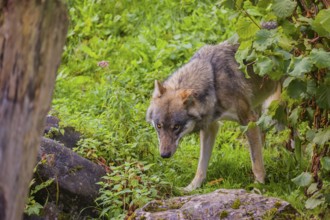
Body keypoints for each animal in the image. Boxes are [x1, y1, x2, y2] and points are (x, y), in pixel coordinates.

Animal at [146, 41, 278, 191]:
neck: (214, 83)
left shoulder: (248, 120)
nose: (164, 155)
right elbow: (201, 164)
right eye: (159, 126)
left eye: (176, 127)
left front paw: (258, 187)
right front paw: (192, 187)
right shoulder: (210, 127)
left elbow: (256, 162)